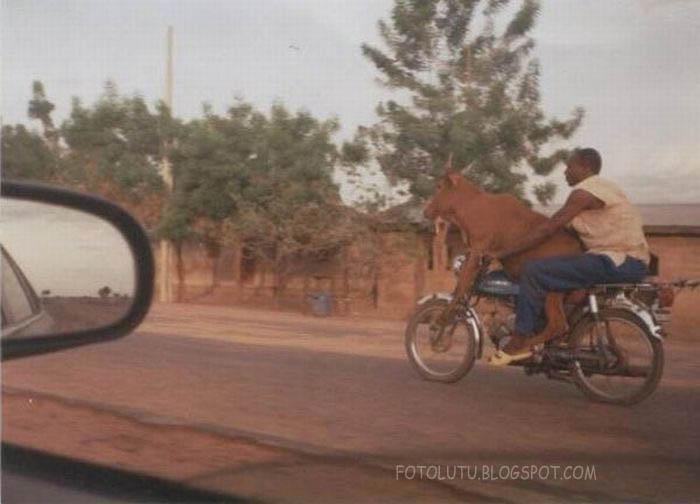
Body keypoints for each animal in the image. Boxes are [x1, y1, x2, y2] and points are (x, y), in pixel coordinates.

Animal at [424, 167, 584, 356]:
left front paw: (442, 320)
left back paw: (521, 347)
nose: (426, 211)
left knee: (558, 324)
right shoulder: (476, 253)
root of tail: (581, 248)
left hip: (554, 290)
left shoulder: (478, 249)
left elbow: (461, 287)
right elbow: (460, 287)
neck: (470, 208)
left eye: (439, 186)